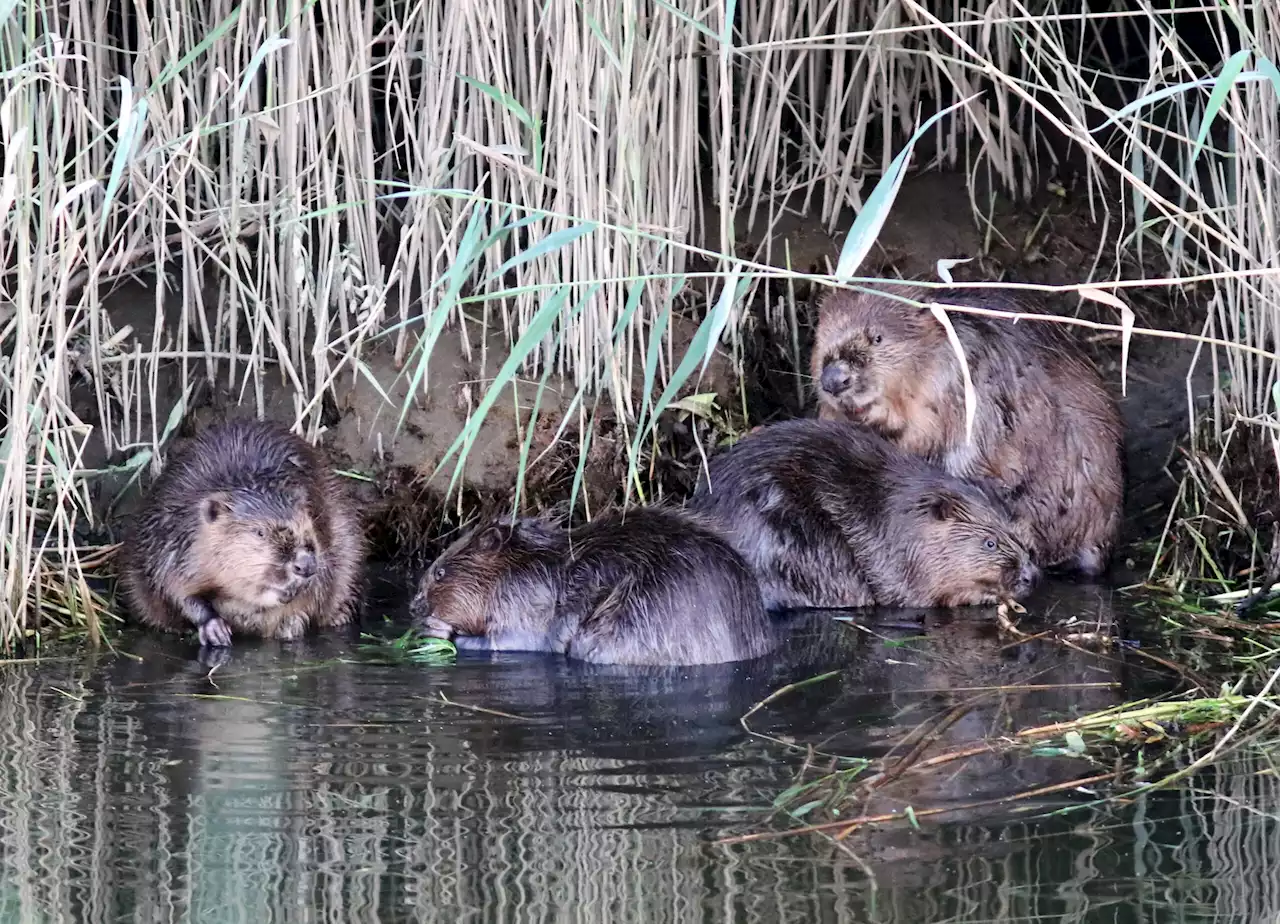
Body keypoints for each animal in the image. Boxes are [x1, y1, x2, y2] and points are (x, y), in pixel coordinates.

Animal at [116, 414, 366, 645]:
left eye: (308, 526)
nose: (305, 565)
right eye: (260, 532)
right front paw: (215, 630)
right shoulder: (171, 543)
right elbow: (174, 591)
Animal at [409, 504, 773, 660]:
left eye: (440, 573)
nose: (413, 606)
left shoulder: (523, 596)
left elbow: (517, 641)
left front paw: (437, 629)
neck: (532, 563)